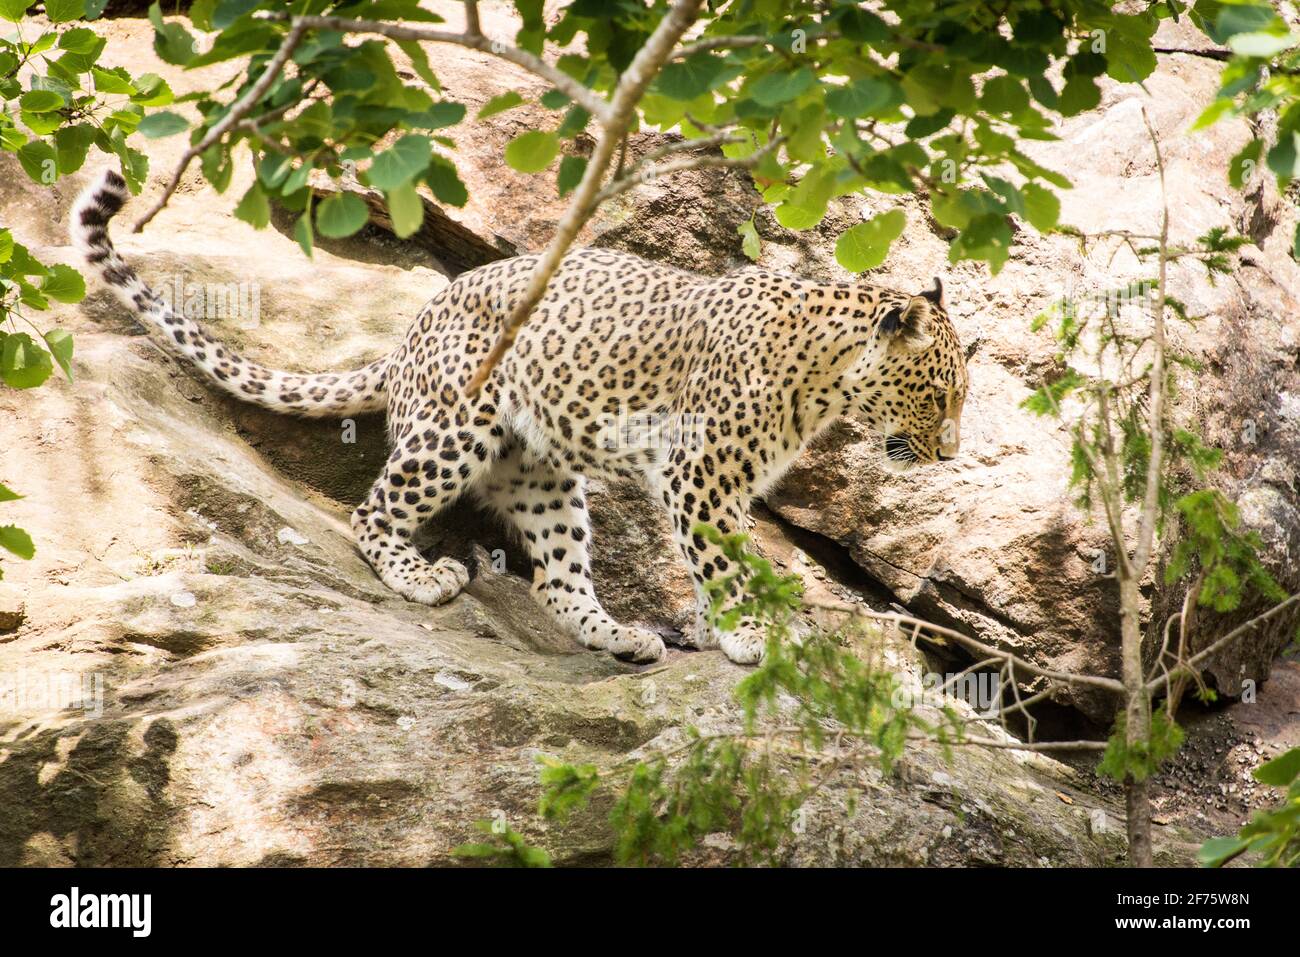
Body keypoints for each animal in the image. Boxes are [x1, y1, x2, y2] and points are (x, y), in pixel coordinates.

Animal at [71, 167, 967, 665]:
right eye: (938, 393)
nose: (951, 454)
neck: (824, 380)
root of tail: (410, 333)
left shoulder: (714, 486)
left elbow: (719, 560)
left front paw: (724, 630)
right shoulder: (700, 476)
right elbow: (724, 561)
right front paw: (753, 633)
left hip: (541, 474)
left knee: (555, 579)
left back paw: (620, 634)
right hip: (454, 429)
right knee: (373, 511)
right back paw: (421, 576)